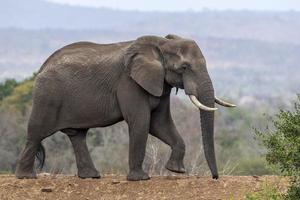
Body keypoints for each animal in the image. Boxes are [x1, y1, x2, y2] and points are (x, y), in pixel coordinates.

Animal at [15, 33, 236, 180]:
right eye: (184, 67)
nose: (215, 177)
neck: (161, 44)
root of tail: (43, 66)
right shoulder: (129, 82)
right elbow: (141, 122)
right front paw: (141, 179)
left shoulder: (159, 83)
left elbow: (160, 123)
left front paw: (176, 171)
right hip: (47, 96)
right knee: (36, 133)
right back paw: (26, 177)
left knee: (78, 135)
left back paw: (91, 176)